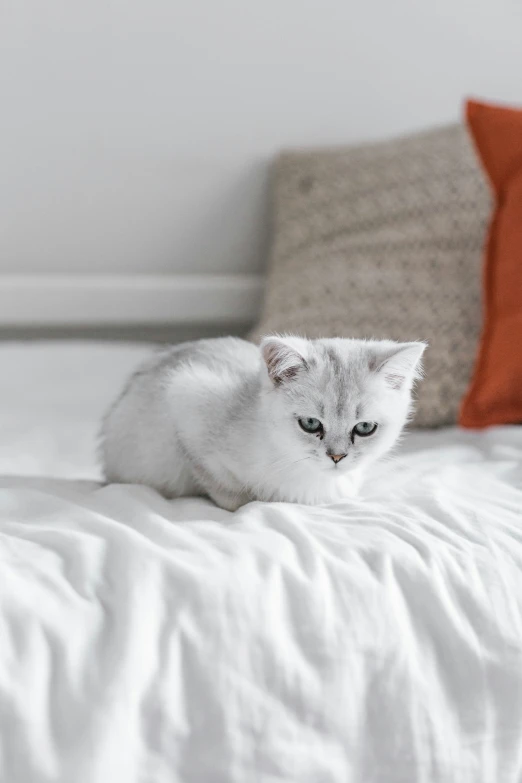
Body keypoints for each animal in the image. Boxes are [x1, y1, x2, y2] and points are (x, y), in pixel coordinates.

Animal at [100, 334, 422, 512]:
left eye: (365, 428)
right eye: (310, 424)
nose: (337, 457)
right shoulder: (185, 403)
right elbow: (226, 490)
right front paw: (251, 502)